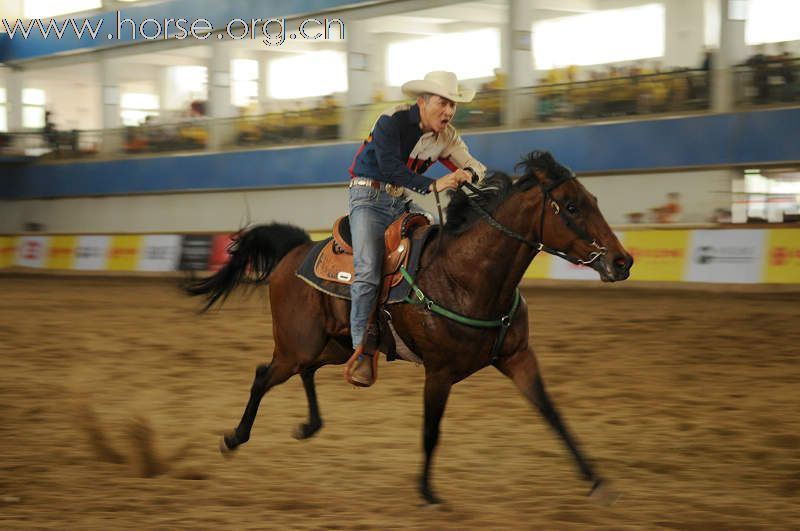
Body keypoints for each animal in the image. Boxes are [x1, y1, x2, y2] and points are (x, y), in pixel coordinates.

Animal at [186, 150, 632, 502]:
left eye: (592, 199)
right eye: (571, 207)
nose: (622, 261)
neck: (464, 275)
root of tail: (296, 249)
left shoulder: (518, 357)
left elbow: (553, 414)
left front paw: (596, 481)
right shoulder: (439, 373)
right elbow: (431, 431)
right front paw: (427, 492)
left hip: (335, 346)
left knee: (306, 372)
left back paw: (309, 426)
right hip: (298, 344)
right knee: (263, 376)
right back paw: (234, 438)